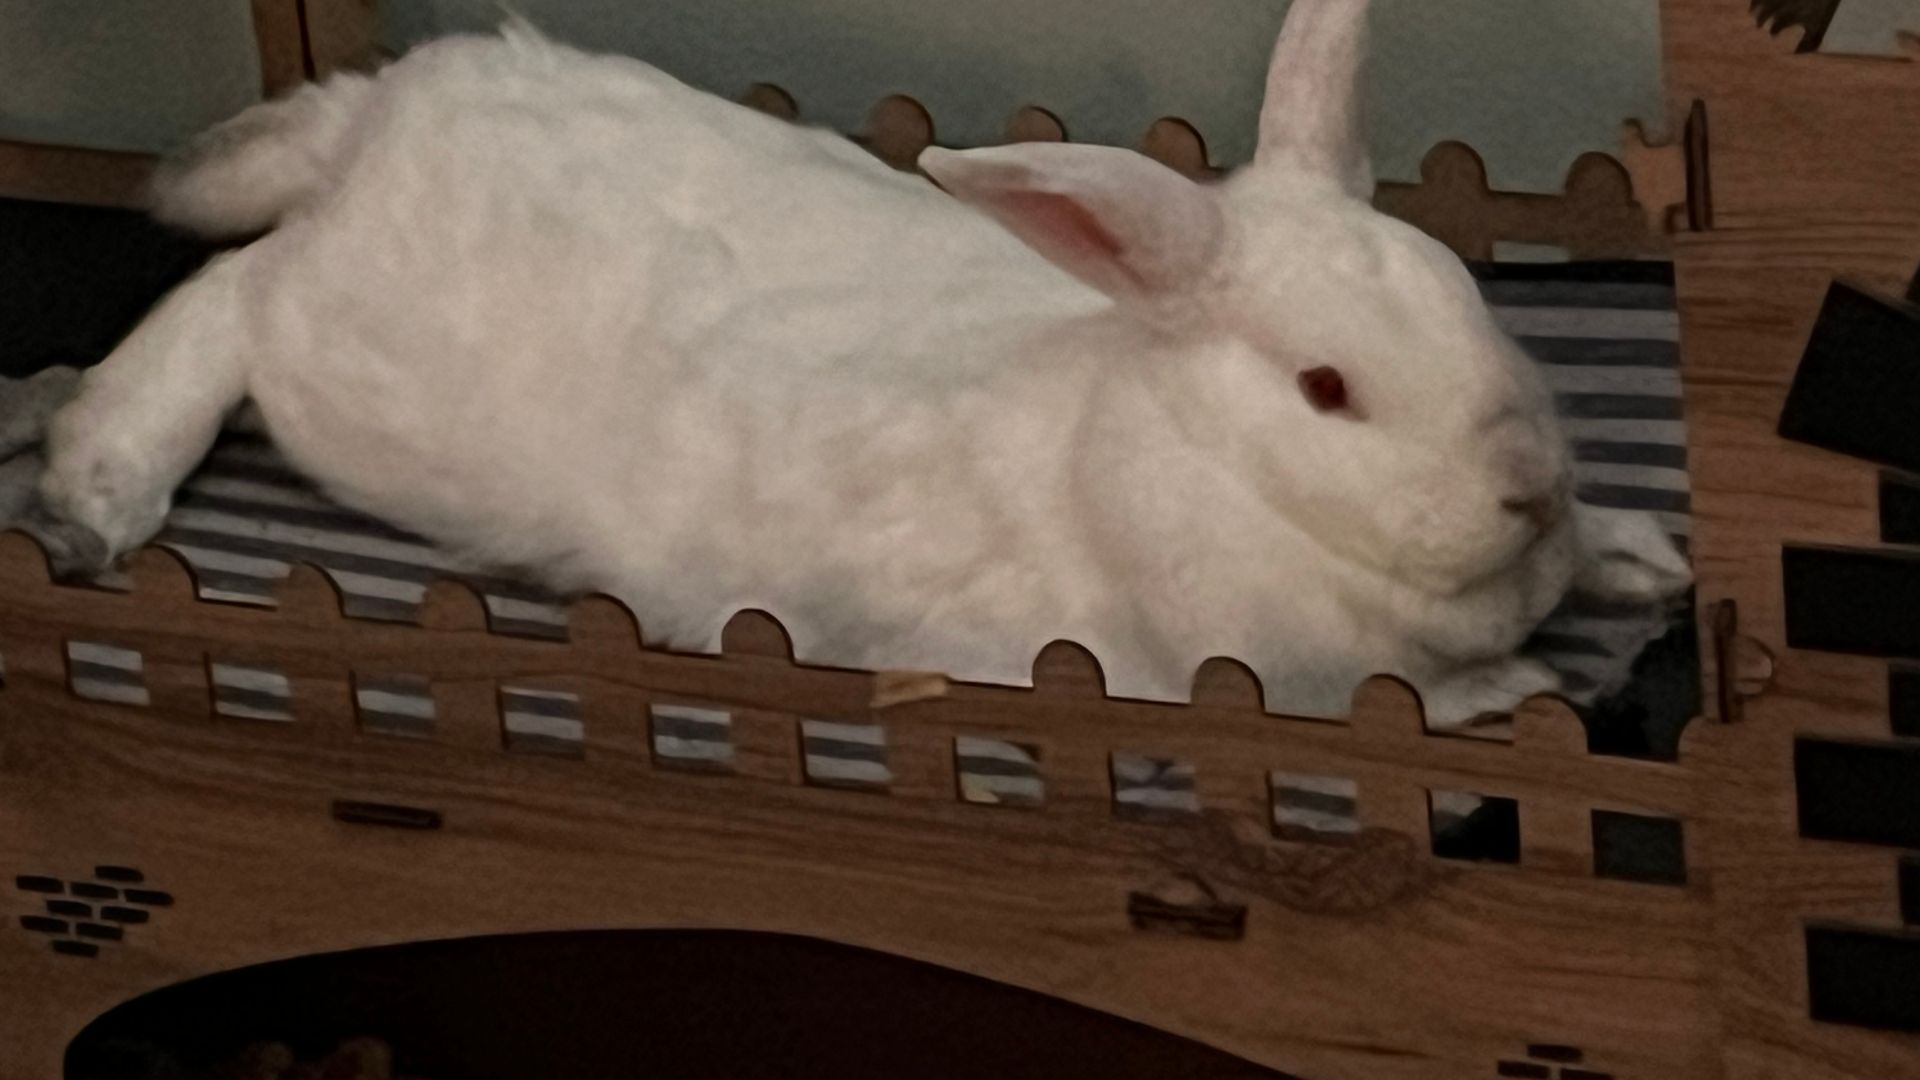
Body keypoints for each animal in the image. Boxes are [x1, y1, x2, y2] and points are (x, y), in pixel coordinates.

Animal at [23, 0, 1691, 728]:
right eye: (1326, 391)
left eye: (1471, 300)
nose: (1528, 485)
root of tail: (382, 114)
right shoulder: (1242, 689)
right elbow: (1425, 707)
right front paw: (1533, 678)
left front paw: (1642, 560)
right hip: (347, 369)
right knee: (234, 295)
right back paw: (95, 487)